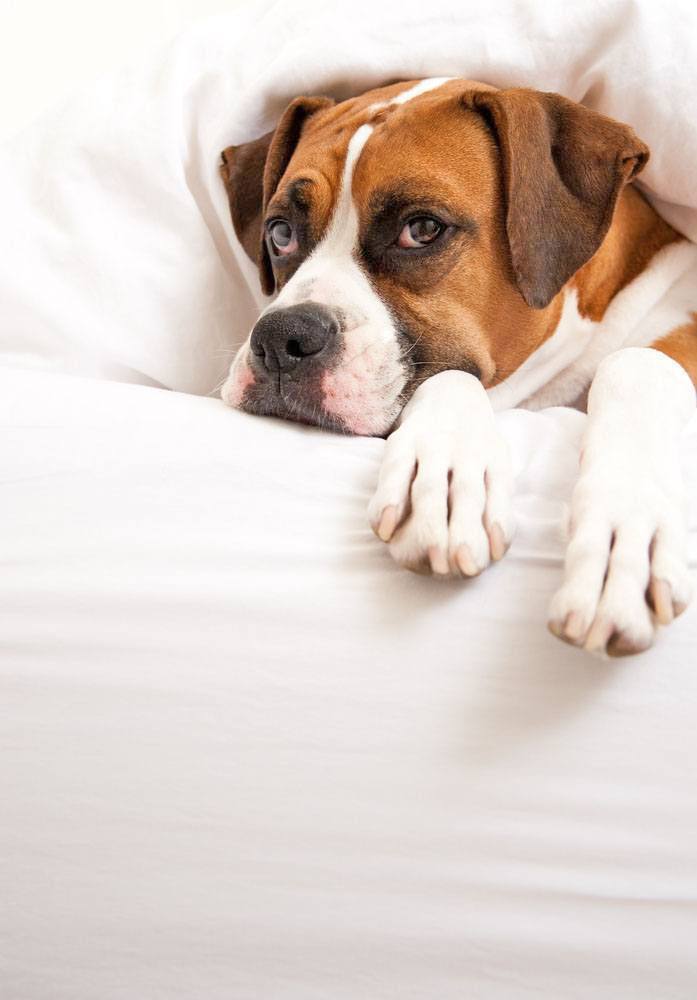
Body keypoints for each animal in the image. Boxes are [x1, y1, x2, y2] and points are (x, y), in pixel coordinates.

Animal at [218, 78, 696, 656]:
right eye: (281, 232)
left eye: (422, 228)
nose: (280, 337)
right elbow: (450, 378)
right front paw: (446, 476)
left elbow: (637, 362)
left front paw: (625, 533)